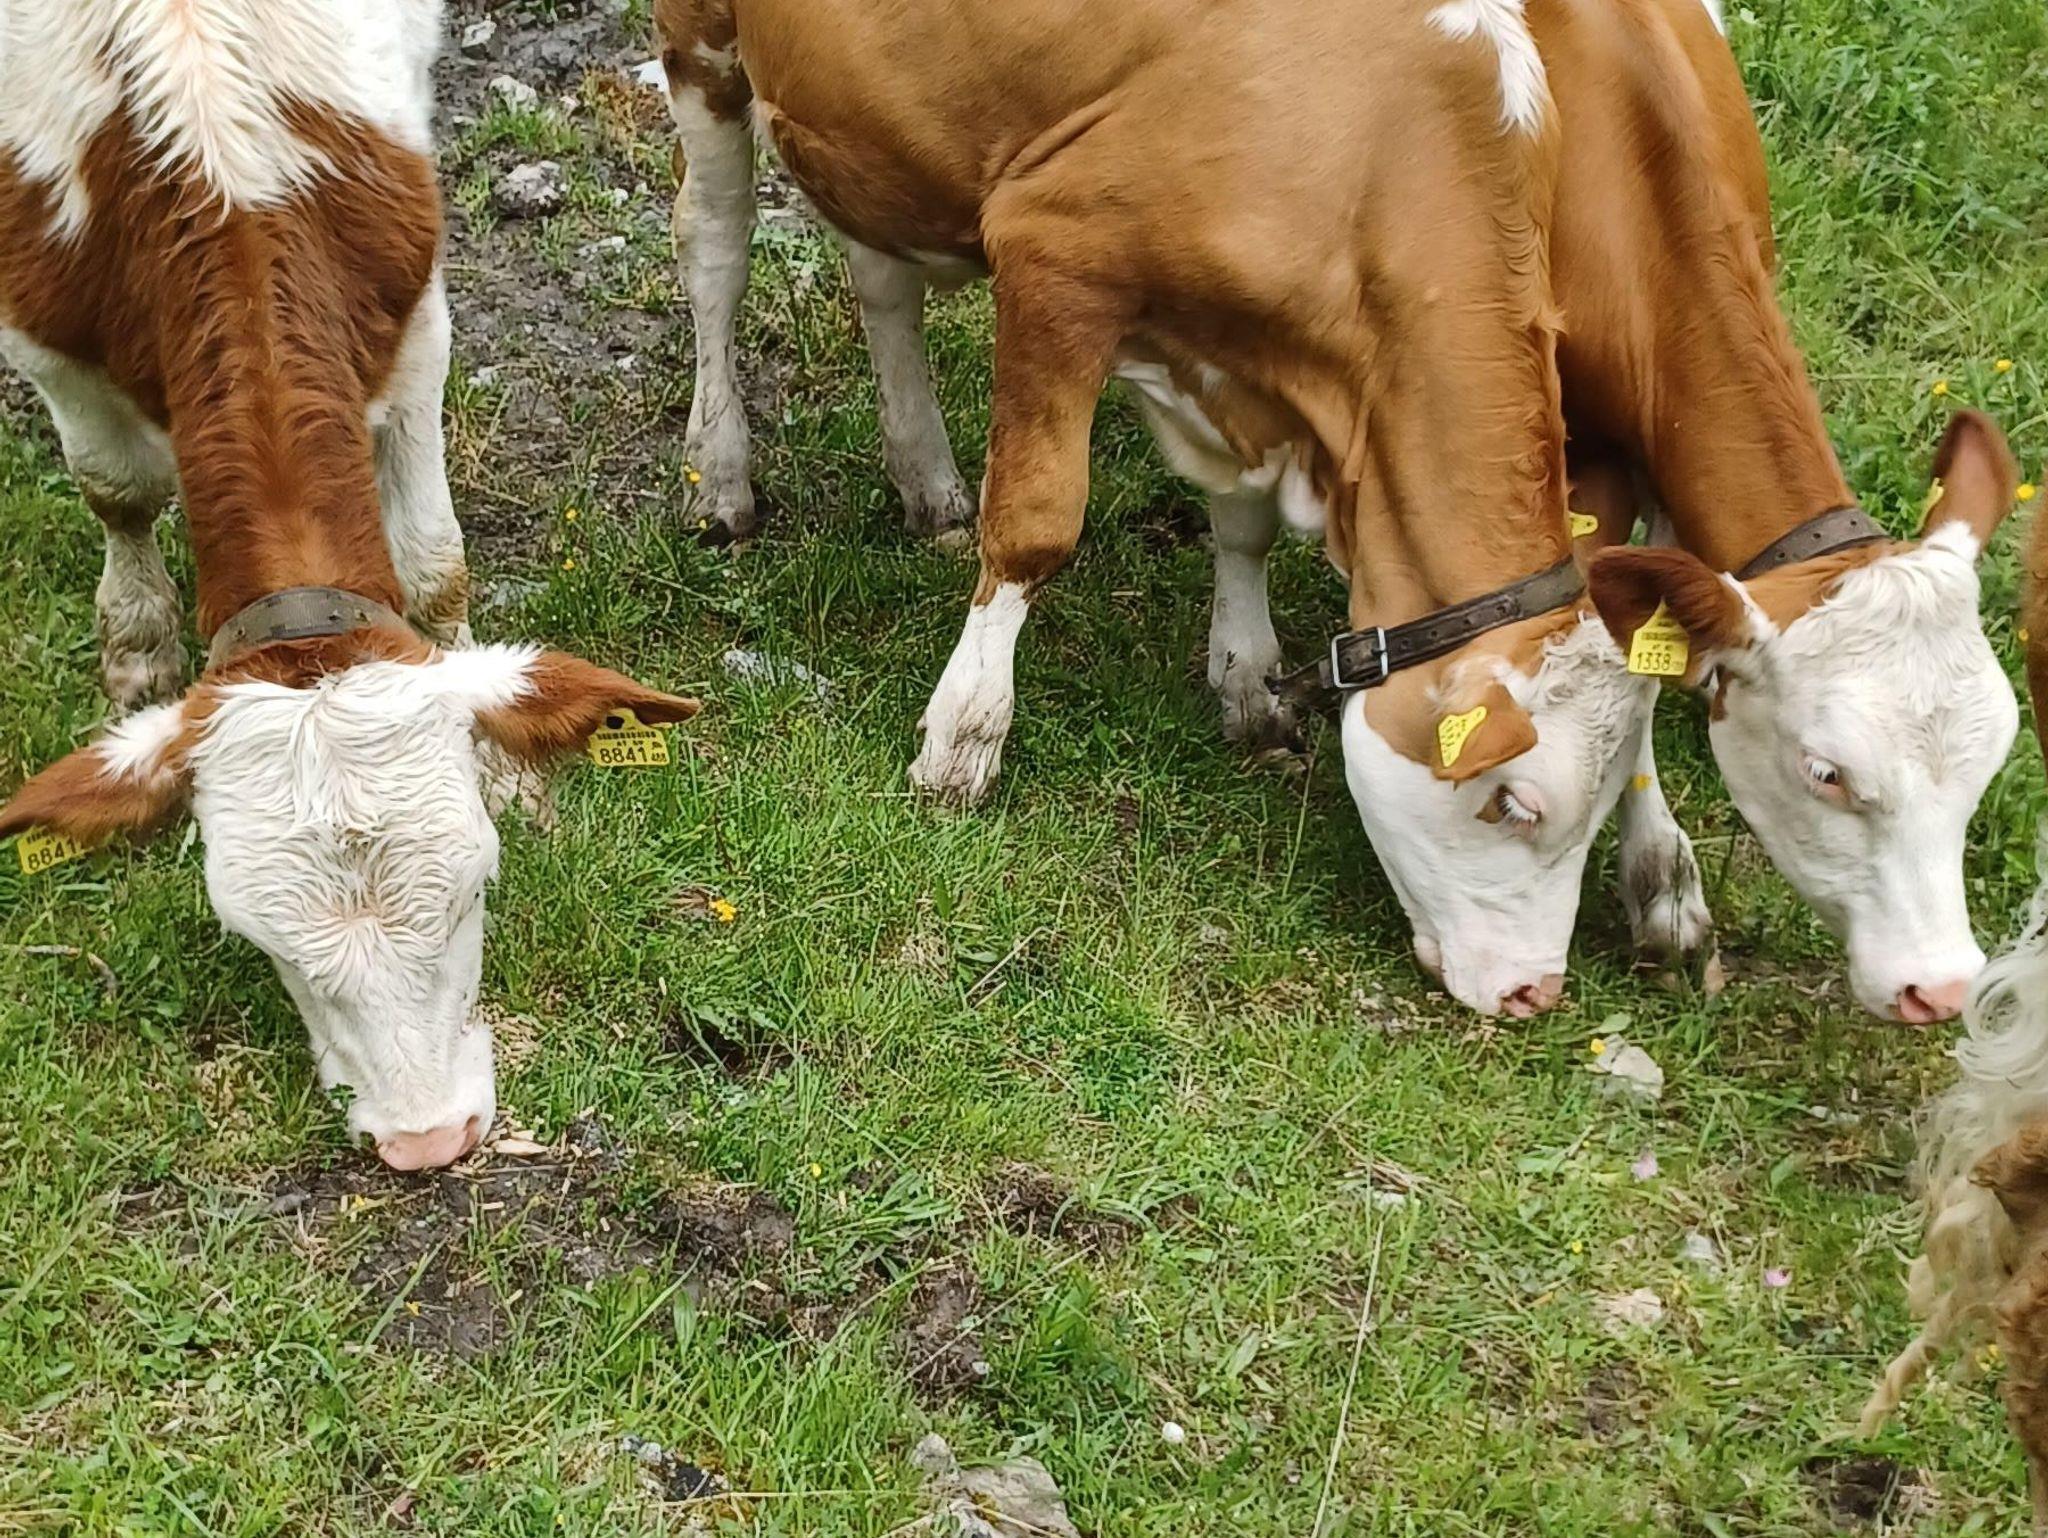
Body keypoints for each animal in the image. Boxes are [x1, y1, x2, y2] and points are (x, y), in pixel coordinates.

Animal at [0, 0, 701, 1169]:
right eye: (250, 935)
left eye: (476, 884)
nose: (428, 1137)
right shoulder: (46, 339)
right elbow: (115, 489)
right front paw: (137, 654)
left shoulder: (415, 323)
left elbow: (432, 560)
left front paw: (503, 762)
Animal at [657, 0, 2022, 1024]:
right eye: (1826, 772)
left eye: (1982, 779)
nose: (1945, 990)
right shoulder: (1058, 250)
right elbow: (1039, 523)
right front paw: (961, 741)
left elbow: (1258, 528)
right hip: (706, 44)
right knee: (714, 238)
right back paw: (721, 476)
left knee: (877, 267)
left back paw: (926, 476)